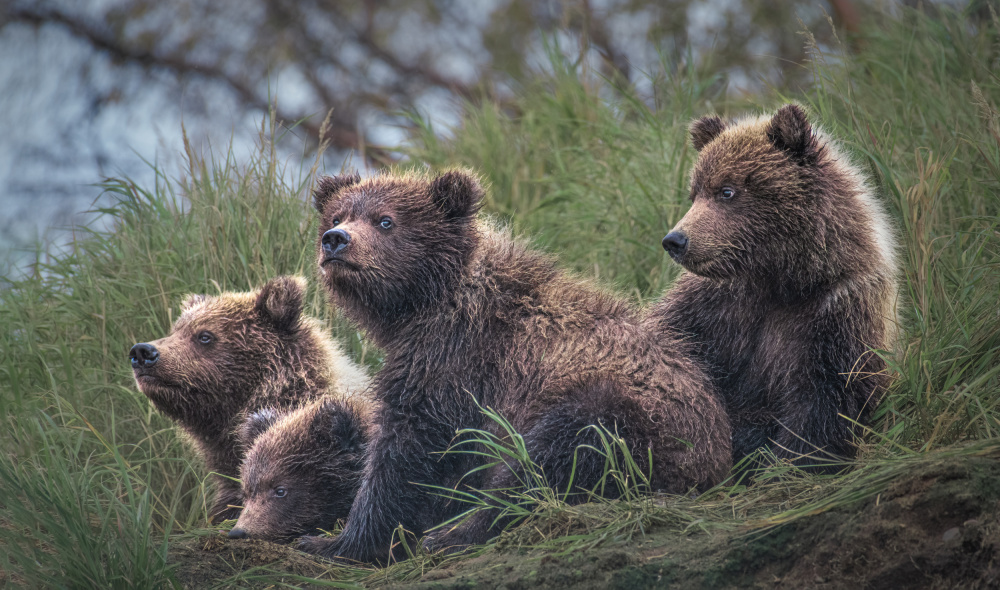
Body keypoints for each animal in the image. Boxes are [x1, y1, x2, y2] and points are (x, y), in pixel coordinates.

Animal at [299, 170, 731, 564]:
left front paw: (334, 542)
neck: (424, 303)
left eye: (385, 220)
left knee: (547, 459)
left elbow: (407, 450)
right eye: (338, 214)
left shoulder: (454, 359)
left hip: (630, 417)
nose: (335, 239)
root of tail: (712, 463)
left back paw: (453, 535)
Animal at [647, 104, 899, 472]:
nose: (675, 240)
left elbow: (824, 403)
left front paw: (789, 464)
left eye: (726, 190)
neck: (782, 281)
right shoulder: (714, 307)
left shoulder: (838, 316)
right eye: (695, 193)